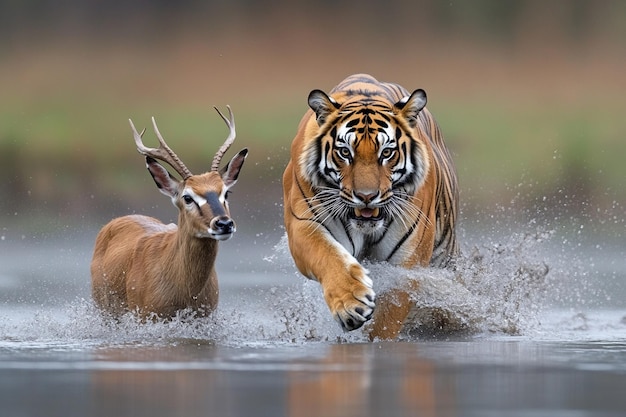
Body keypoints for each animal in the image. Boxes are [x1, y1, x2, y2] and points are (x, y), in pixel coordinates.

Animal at [280, 72, 456, 338]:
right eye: (344, 152)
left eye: (387, 153)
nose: (366, 196)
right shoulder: (304, 225)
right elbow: (327, 256)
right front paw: (350, 305)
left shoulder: (407, 264)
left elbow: (390, 314)